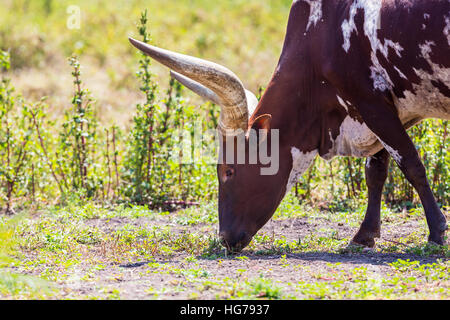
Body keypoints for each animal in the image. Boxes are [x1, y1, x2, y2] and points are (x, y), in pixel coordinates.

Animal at [128, 0, 448, 252]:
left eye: (228, 171)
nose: (225, 239)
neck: (321, 34)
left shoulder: (372, 104)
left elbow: (411, 165)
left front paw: (436, 232)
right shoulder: (383, 112)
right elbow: (376, 172)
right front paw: (364, 235)